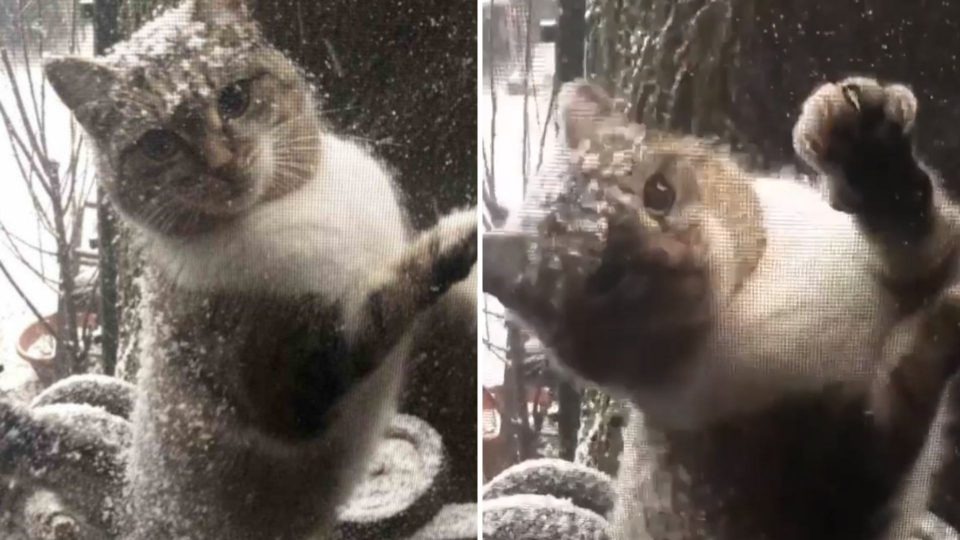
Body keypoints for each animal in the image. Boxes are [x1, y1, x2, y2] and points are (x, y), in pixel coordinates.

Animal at [41, 1, 476, 536]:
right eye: (158, 144)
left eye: (234, 98)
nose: (221, 163)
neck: (294, 203)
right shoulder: (290, 383)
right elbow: (385, 302)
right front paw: (456, 237)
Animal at [488, 77, 960, 540]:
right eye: (606, 277)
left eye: (658, 192)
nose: (675, 257)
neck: (751, 291)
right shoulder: (828, 479)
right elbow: (899, 390)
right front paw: (938, 328)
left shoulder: (925, 258)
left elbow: (918, 234)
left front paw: (873, 162)